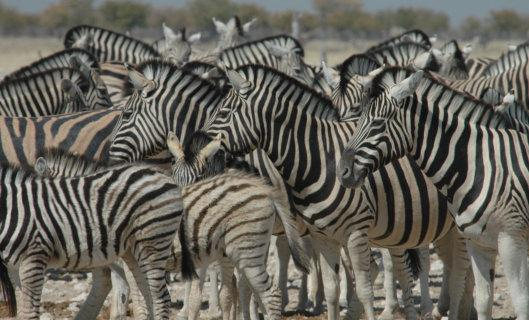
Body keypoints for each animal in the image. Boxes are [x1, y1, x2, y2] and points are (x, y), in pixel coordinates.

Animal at [0, 162, 183, 320]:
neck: (11, 211)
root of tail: (161, 174)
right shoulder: (13, 267)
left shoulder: (34, 257)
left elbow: (30, 313)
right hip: (133, 250)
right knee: (149, 295)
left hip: (153, 241)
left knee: (161, 298)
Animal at [165, 65, 466, 320]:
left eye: (225, 112)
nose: (196, 149)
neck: (318, 158)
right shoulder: (320, 235)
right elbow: (327, 289)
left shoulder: (354, 230)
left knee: (447, 269)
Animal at [338, 67, 528, 320]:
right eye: (358, 119)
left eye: (377, 123)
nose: (342, 171)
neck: (477, 164)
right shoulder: (479, 242)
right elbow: (484, 300)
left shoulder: (511, 240)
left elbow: (521, 303)